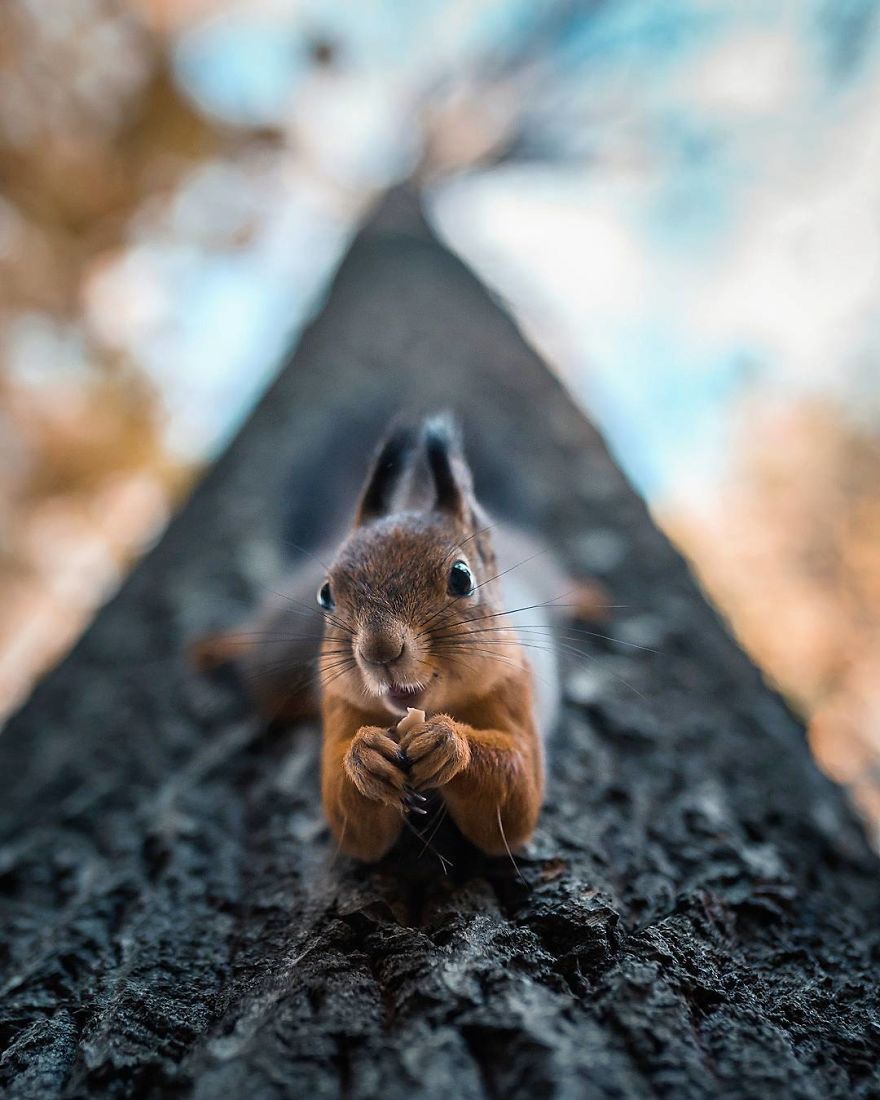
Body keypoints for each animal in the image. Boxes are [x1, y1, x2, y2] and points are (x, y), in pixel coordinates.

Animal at [192, 415, 607, 862]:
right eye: (325, 594)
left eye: (462, 577)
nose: (380, 650)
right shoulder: (340, 704)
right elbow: (353, 825)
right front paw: (364, 757)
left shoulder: (513, 688)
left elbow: (516, 800)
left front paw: (448, 741)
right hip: (276, 661)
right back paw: (219, 645)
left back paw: (587, 596)